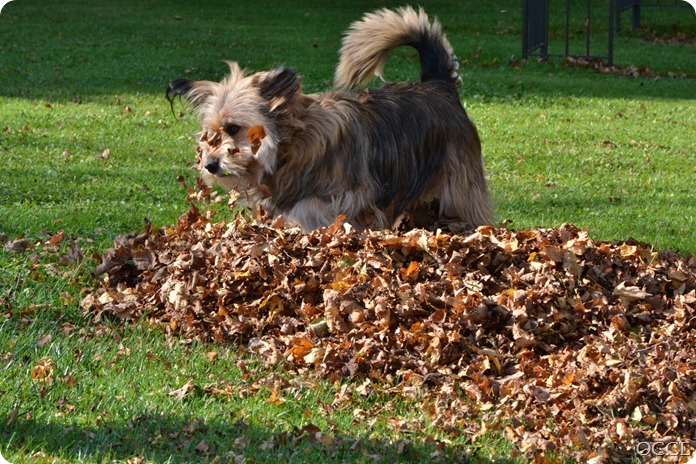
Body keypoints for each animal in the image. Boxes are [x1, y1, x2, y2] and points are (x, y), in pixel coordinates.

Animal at [167, 6, 494, 232]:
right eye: (210, 134)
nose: (209, 165)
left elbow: (308, 207)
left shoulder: (352, 195)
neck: (293, 145)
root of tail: (438, 84)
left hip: (459, 186)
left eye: (234, 128)